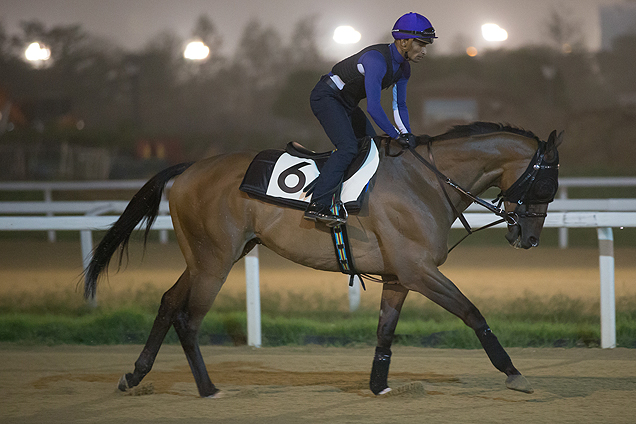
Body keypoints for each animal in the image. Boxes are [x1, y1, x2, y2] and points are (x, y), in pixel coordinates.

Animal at [83, 121, 560, 398]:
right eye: (546, 184)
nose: (529, 238)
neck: (428, 181)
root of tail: (188, 169)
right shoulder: (419, 270)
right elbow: (472, 312)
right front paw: (512, 372)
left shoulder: (399, 275)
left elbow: (386, 330)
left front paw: (379, 385)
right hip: (215, 261)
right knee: (188, 318)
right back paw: (208, 388)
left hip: (211, 256)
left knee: (167, 302)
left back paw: (134, 376)